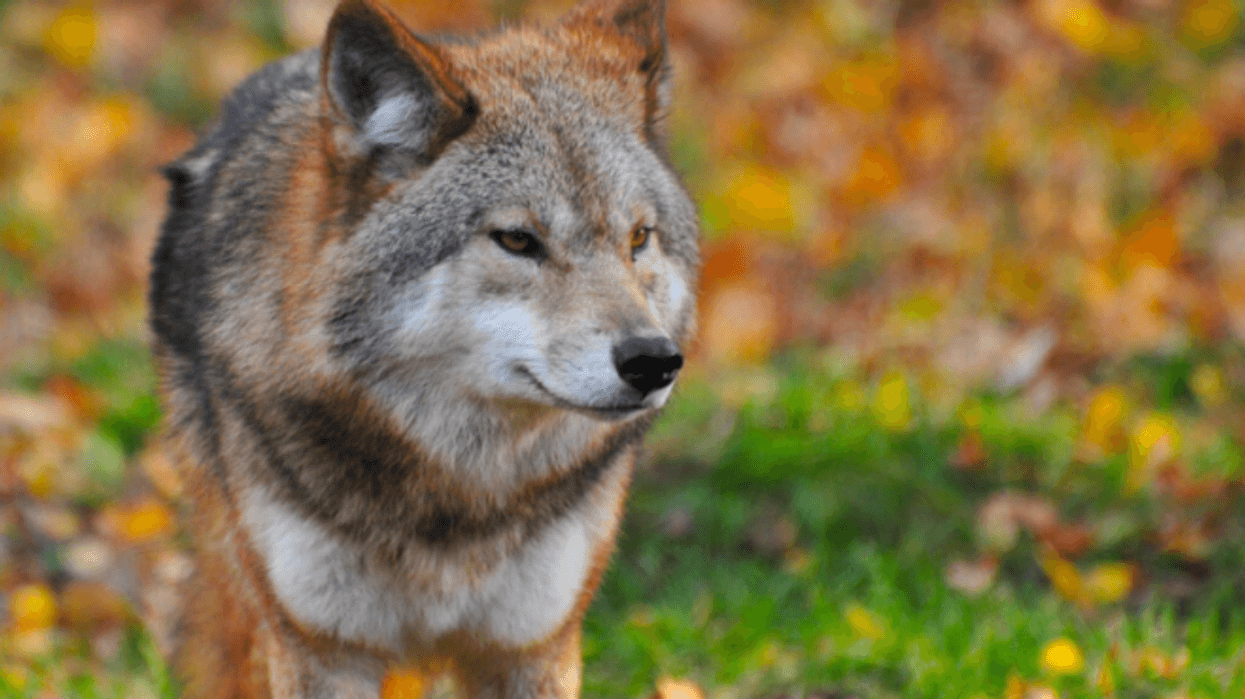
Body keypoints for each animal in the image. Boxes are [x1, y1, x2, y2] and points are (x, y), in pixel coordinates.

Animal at [147, 0, 698, 696]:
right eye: (517, 240)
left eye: (638, 238)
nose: (653, 361)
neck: (457, 496)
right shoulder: (322, 650)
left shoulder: (532, 647)